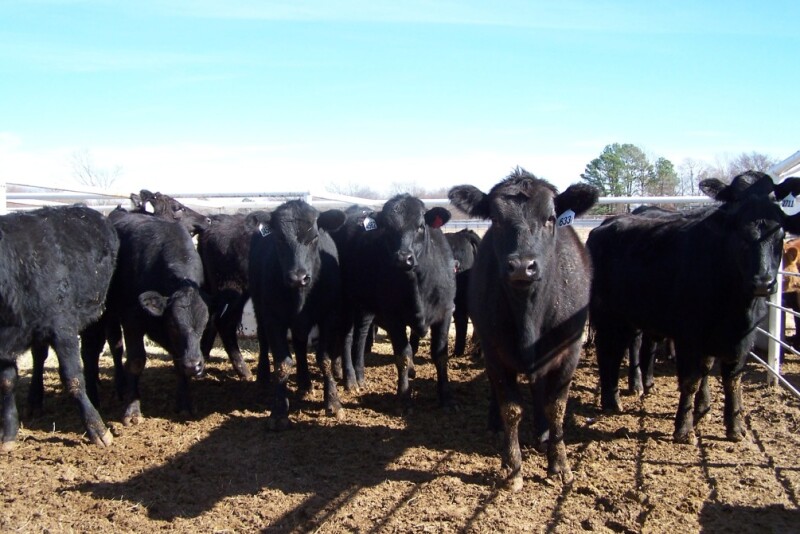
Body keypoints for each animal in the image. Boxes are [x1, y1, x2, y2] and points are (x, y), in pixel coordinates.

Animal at [0, 205, 119, 450]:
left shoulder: (62, 328)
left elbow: (73, 378)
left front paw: (98, 430)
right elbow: (7, 382)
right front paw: (8, 434)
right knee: (39, 357)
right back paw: (35, 400)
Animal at [82, 209, 210, 426]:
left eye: (203, 326)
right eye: (174, 325)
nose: (194, 365)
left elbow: (178, 363)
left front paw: (184, 404)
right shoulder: (132, 320)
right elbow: (136, 361)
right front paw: (132, 412)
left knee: (115, 347)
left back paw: (121, 386)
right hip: (99, 316)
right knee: (90, 352)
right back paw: (95, 396)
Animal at [248, 200, 346, 430]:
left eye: (314, 237)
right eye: (279, 238)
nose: (298, 277)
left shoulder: (328, 315)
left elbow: (324, 358)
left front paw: (333, 401)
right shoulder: (273, 318)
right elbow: (282, 363)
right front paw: (279, 411)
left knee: (301, 345)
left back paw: (305, 382)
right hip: (258, 307)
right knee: (263, 340)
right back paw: (263, 376)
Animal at [336, 195, 456, 412]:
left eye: (420, 226)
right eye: (386, 228)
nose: (403, 258)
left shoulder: (445, 312)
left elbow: (440, 354)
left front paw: (447, 399)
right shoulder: (393, 317)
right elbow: (403, 355)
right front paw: (404, 397)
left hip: (365, 307)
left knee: (361, 336)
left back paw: (360, 375)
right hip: (347, 301)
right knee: (347, 337)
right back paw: (350, 379)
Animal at [587, 171, 800, 445]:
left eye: (780, 234)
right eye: (739, 232)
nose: (763, 282)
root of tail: (605, 226)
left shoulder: (742, 337)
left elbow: (730, 378)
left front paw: (732, 425)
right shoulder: (689, 336)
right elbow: (690, 379)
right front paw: (684, 428)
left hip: (627, 317)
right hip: (607, 315)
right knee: (607, 352)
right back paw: (611, 401)